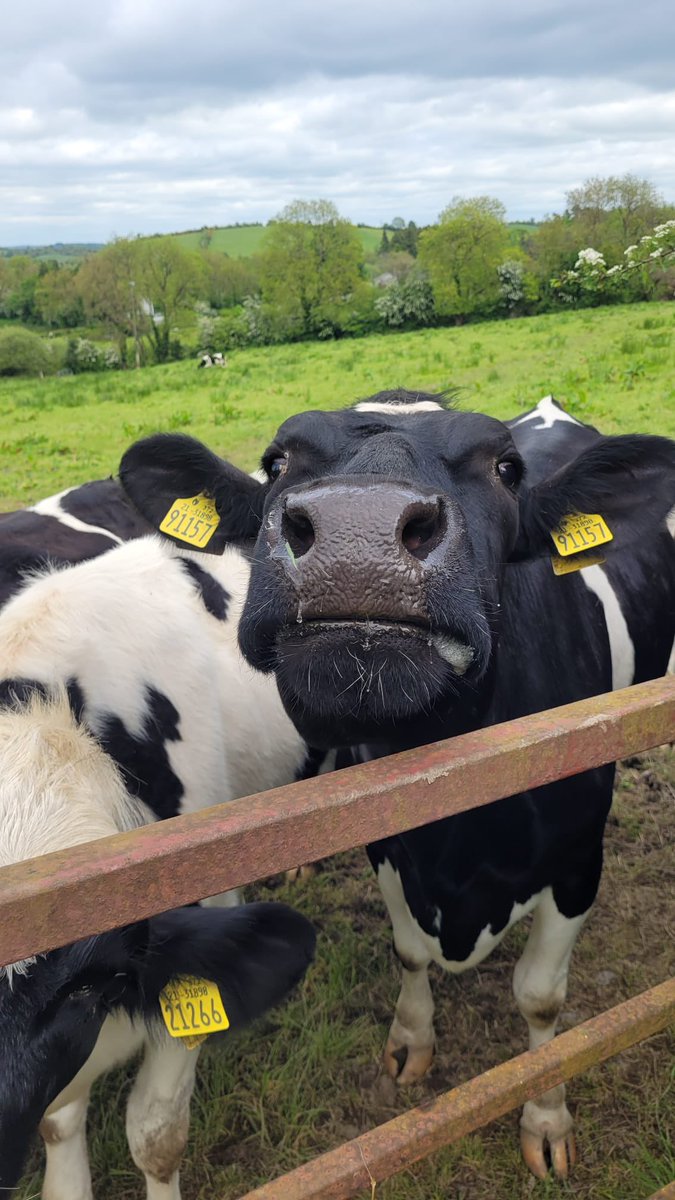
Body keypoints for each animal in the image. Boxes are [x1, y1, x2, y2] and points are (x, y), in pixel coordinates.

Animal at [117, 388, 672, 1176]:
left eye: (506, 468)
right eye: (276, 461)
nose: (359, 535)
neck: (459, 839)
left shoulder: (577, 856)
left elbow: (539, 998)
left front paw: (545, 1116)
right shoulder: (385, 838)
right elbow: (408, 951)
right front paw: (412, 1041)